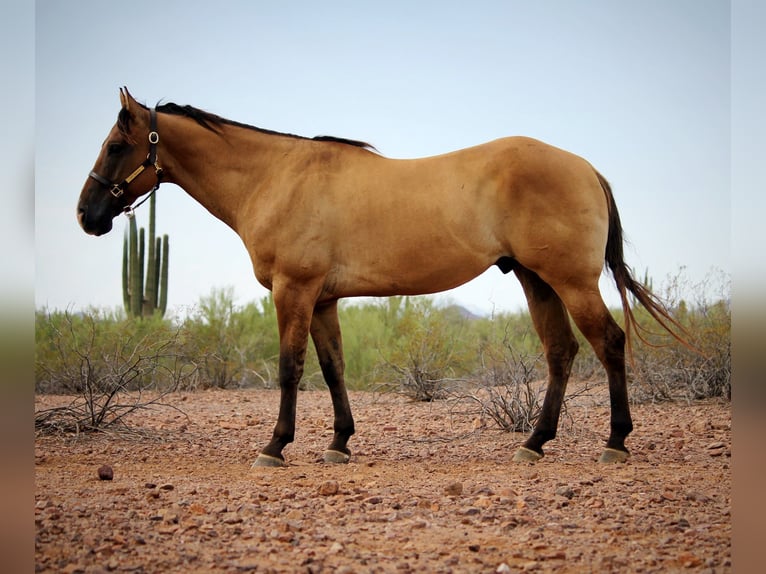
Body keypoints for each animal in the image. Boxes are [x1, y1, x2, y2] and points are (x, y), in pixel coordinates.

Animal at [78, 88, 687, 467]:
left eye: (115, 146)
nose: (87, 216)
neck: (276, 178)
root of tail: (585, 166)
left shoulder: (294, 291)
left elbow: (290, 369)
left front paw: (275, 447)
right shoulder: (322, 300)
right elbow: (333, 368)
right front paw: (339, 443)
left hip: (572, 282)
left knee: (609, 343)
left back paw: (615, 442)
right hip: (537, 281)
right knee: (561, 351)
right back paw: (535, 443)